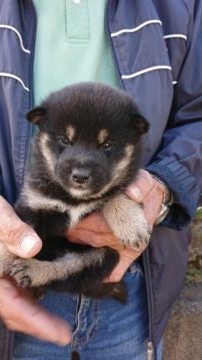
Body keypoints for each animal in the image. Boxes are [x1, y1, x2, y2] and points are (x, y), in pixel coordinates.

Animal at [0, 81, 151, 300]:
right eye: (64, 140)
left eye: (107, 144)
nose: (80, 176)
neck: (75, 201)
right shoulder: (34, 205)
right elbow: (17, 234)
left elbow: (114, 195)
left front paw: (130, 224)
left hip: (101, 257)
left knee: (66, 270)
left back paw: (32, 271)